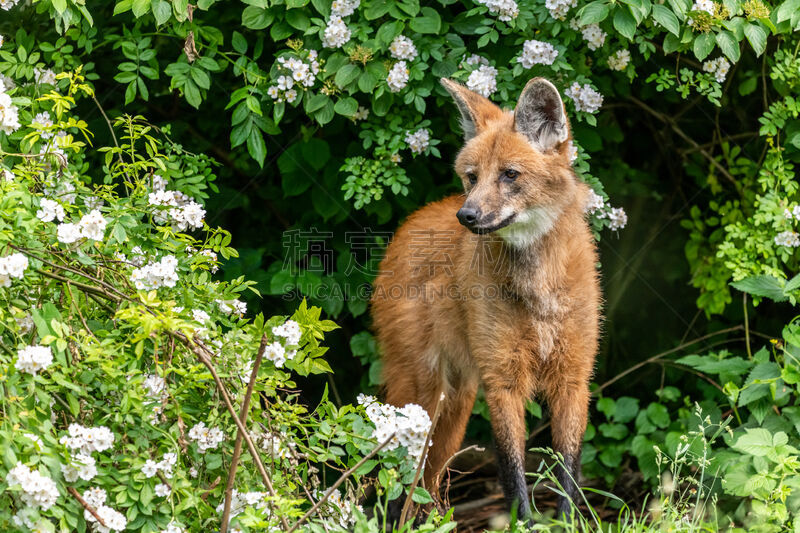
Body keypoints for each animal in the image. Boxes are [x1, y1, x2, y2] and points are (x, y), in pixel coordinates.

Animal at [370, 77, 600, 516]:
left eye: (510, 174)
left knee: (426, 483)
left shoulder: (572, 377)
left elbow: (568, 474)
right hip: (422, 397)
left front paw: (566, 522)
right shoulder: (502, 380)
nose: (467, 216)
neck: (538, 290)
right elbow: (513, 474)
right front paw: (525, 523)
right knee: (392, 479)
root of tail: (409, 224)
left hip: (455, 405)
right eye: (472, 177)